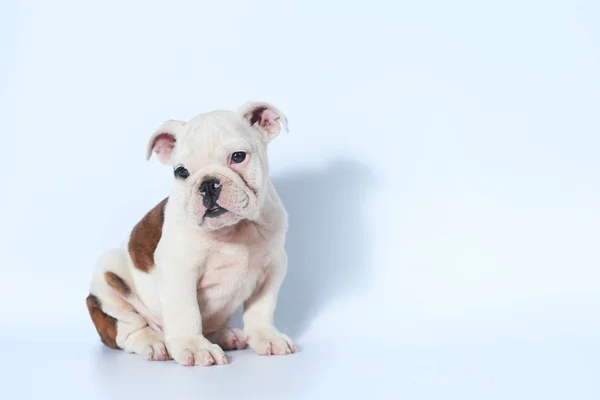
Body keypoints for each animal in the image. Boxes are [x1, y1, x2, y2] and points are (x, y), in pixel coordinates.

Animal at [85, 101, 296, 366]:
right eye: (181, 172)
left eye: (238, 156)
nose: (208, 184)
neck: (233, 230)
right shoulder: (179, 271)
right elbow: (186, 312)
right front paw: (194, 347)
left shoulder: (273, 269)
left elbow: (261, 309)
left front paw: (267, 337)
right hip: (109, 276)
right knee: (127, 331)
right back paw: (154, 342)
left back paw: (225, 336)